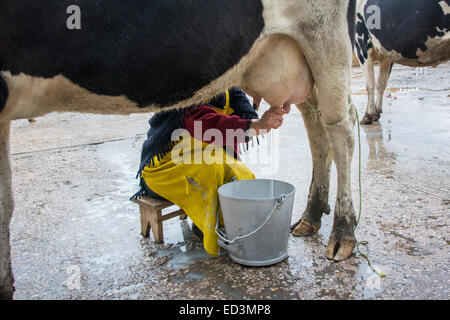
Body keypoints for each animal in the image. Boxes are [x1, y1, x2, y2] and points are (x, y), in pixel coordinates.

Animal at [0, 0, 358, 300]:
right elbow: (6, 202)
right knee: (316, 125)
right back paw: (310, 217)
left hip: (327, 39)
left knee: (340, 127)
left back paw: (342, 234)